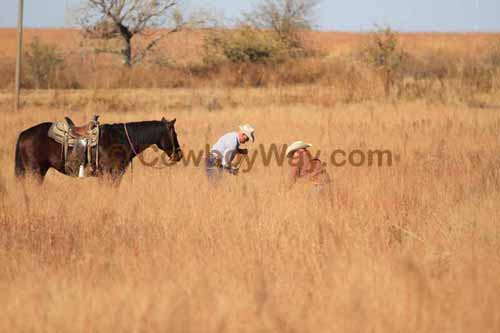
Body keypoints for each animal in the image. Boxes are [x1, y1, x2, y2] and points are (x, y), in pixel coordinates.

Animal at [14, 117, 184, 184]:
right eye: (174, 134)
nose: (179, 155)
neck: (121, 138)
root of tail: (23, 134)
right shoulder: (111, 174)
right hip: (35, 171)